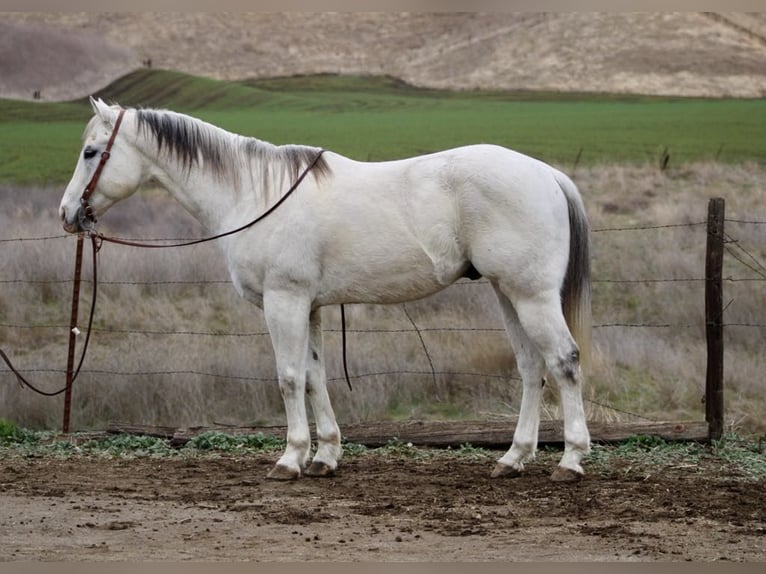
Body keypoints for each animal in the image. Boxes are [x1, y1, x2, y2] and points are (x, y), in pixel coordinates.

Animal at [63, 97, 596, 484]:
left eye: (90, 152)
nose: (69, 214)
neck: (252, 194)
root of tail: (548, 174)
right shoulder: (311, 306)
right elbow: (315, 377)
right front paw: (324, 457)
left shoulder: (285, 301)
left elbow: (288, 378)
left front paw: (290, 459)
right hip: (509, 295)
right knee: (531, 369)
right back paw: (512, 459)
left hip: (531, 296)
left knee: (564, 362)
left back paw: (569, 461)